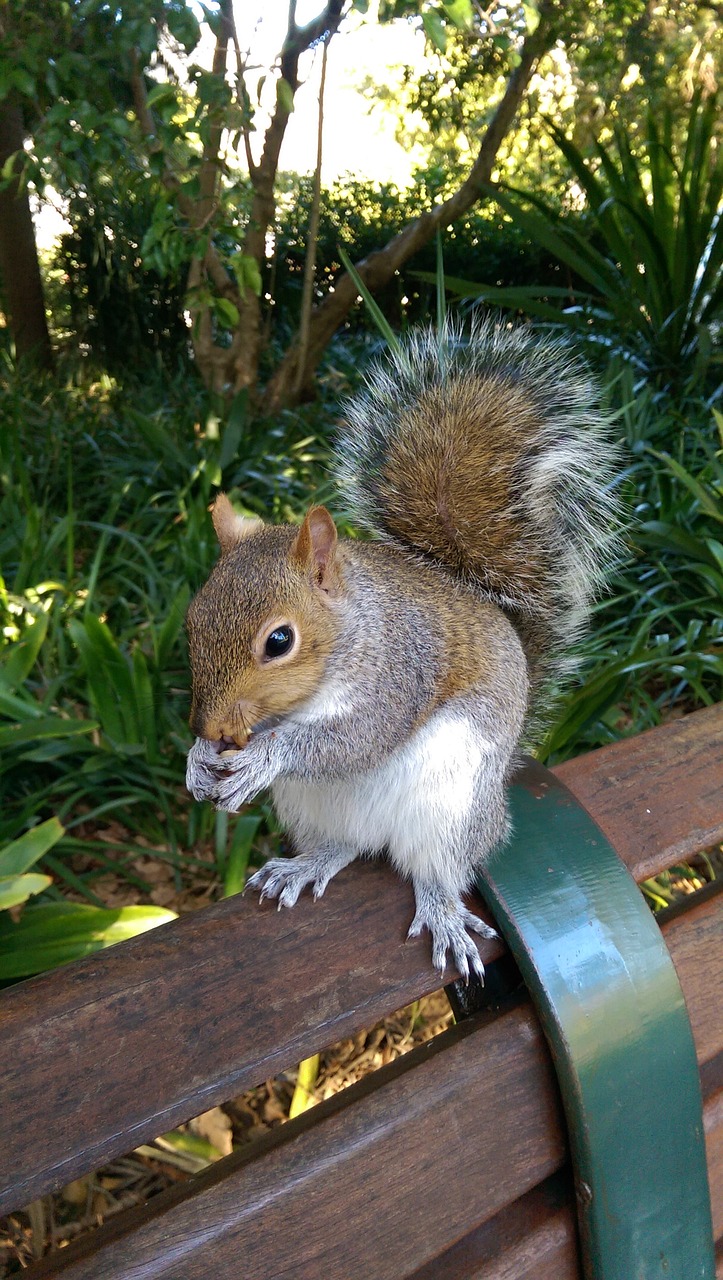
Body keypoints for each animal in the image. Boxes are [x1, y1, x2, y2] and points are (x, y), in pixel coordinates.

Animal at [182, 320, 616, 977]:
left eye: (280, 641)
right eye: (192, 620)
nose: (210, 727)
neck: (351, 632)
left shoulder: (403, 670)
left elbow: (357, 737)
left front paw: (262, 756)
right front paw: (198, 761)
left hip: (453, 805)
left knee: (435, 868)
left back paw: (441, 911)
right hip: (311, 807)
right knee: (346, 846)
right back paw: (307, 864)